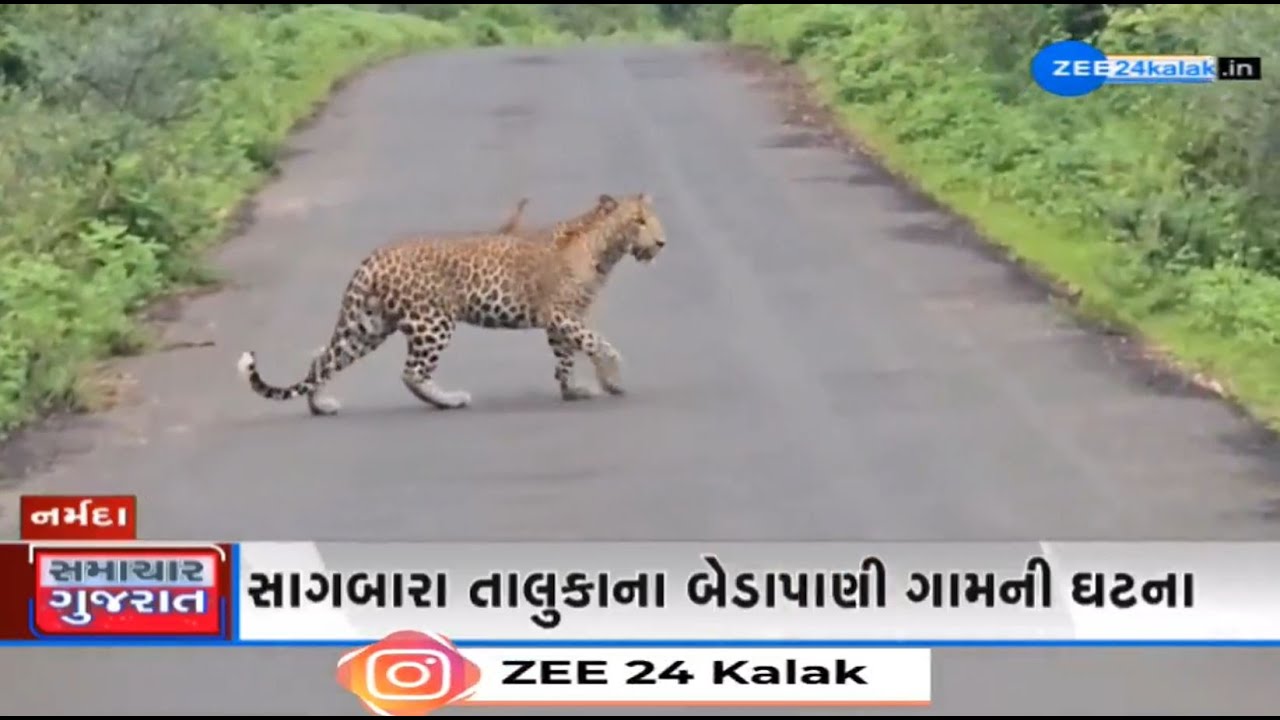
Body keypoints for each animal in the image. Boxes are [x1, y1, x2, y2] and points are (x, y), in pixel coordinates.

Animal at [236, 192, 667, 416]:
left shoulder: (562, 321)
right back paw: (450, 399)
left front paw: (573, 390)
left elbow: (566, 358)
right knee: (411, 372)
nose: (662, 242)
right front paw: (612, 379)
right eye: (639, 221)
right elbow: (599, 343)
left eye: (651, 218)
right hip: (432, 321)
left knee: (321, 360)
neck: (603, 249)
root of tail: (373, 256)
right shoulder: (561, 314)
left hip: (368, 325)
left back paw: (321, 404)